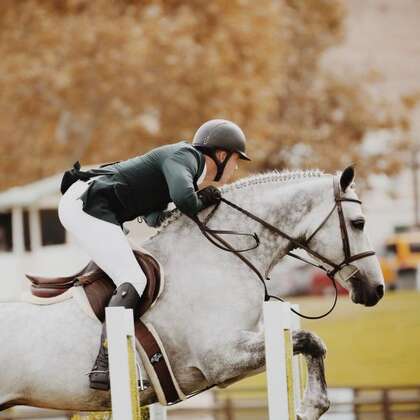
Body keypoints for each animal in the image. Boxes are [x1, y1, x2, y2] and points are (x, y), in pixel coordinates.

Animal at [0, 166, 384, 418]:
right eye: (359, 223)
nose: (376, 290)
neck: (221, 255)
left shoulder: (231, 364)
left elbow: (310, 343)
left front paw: (310, 406)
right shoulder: (221, 356)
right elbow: (310, 340)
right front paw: (310, 406)